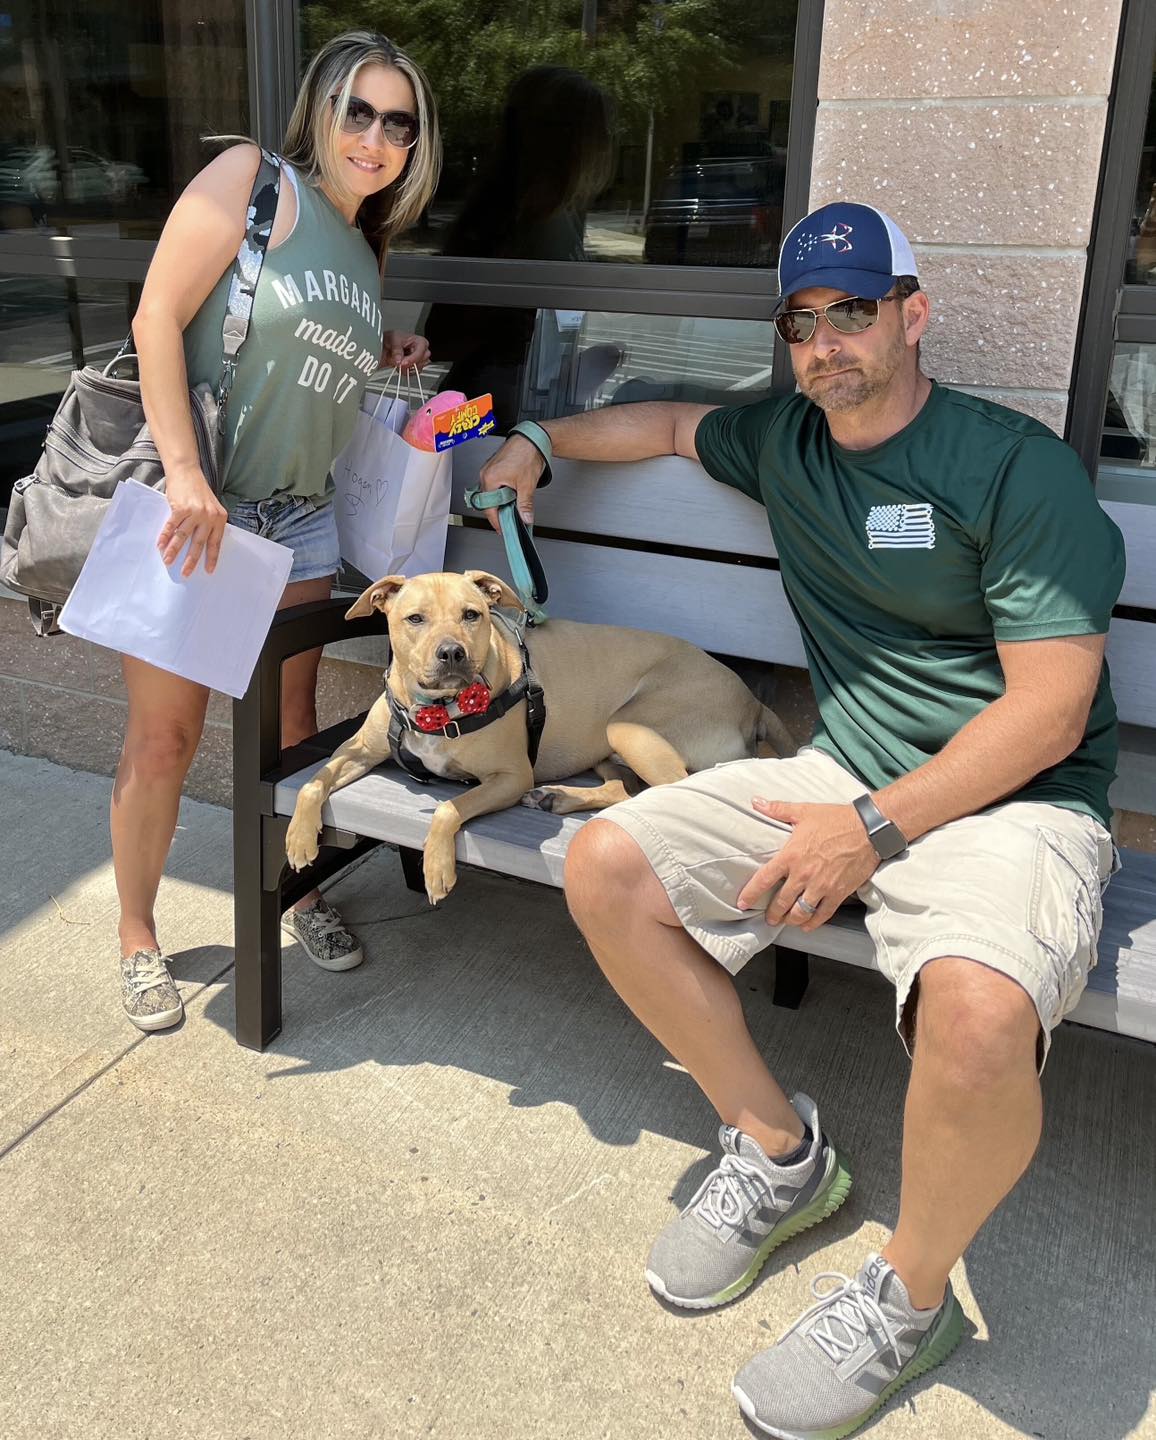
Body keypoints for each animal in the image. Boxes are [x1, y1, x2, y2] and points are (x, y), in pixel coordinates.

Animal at [287, 570, 794, 898]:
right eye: (415, 619)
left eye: (472, 615)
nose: (452, 653)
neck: (435, 709)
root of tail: (752, 701)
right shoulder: (358, 748)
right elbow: (314, 781)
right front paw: (298, 837)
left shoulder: (510, 777)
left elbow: (449, 808)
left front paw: (436, 865)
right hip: (609, 744)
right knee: (624, 790)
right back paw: (559, 798)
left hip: (633, 728)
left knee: (673, 793)